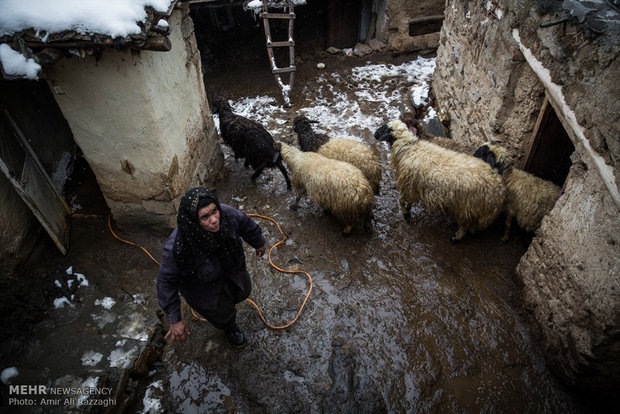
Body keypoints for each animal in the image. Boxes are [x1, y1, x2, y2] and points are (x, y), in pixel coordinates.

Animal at [370, 119, 506, 243]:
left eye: (385, 129)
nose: (375, 134)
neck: (408, 148)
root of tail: (498, 186)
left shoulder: (409, 185)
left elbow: (403, 201)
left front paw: (406, 215)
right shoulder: (414, 185)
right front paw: (407, 212)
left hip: (466, 206)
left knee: (465, 226)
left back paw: (455, 237)